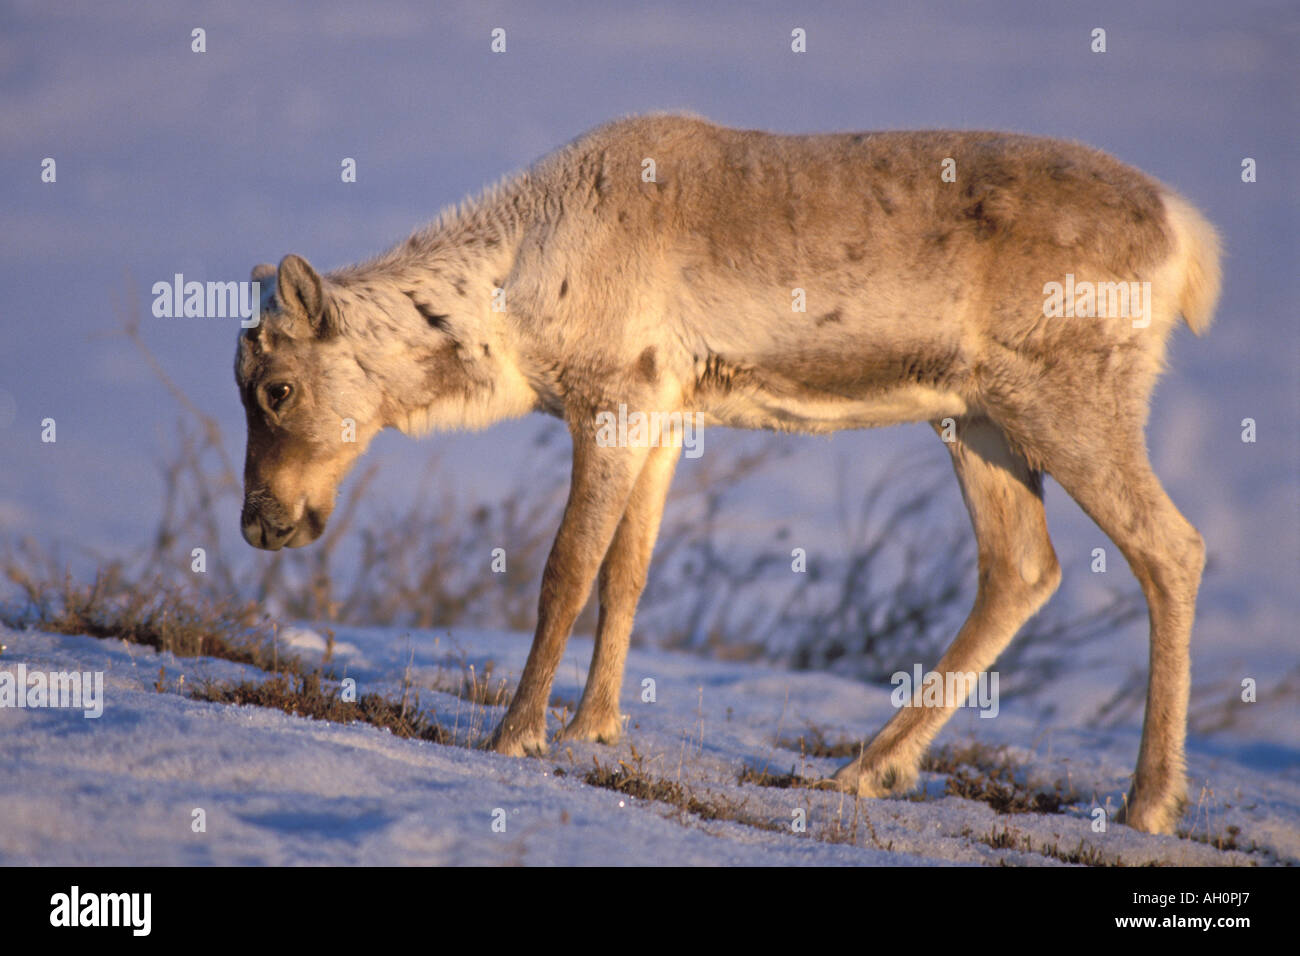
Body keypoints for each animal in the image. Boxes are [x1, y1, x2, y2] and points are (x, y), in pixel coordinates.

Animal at [233, 111, 1216, 832]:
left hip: (1067, 399)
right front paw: (595, 727)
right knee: (1023, 567)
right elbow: (627, 572)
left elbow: (566, 571)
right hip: (978, 419)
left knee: (1170, 547)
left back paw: (1147, 804)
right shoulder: (665, 417)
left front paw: (517, 736)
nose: (260, 521)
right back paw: (867, 769)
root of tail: (1187, 242)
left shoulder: (613, 400)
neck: (512, 295)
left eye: (276, 388)